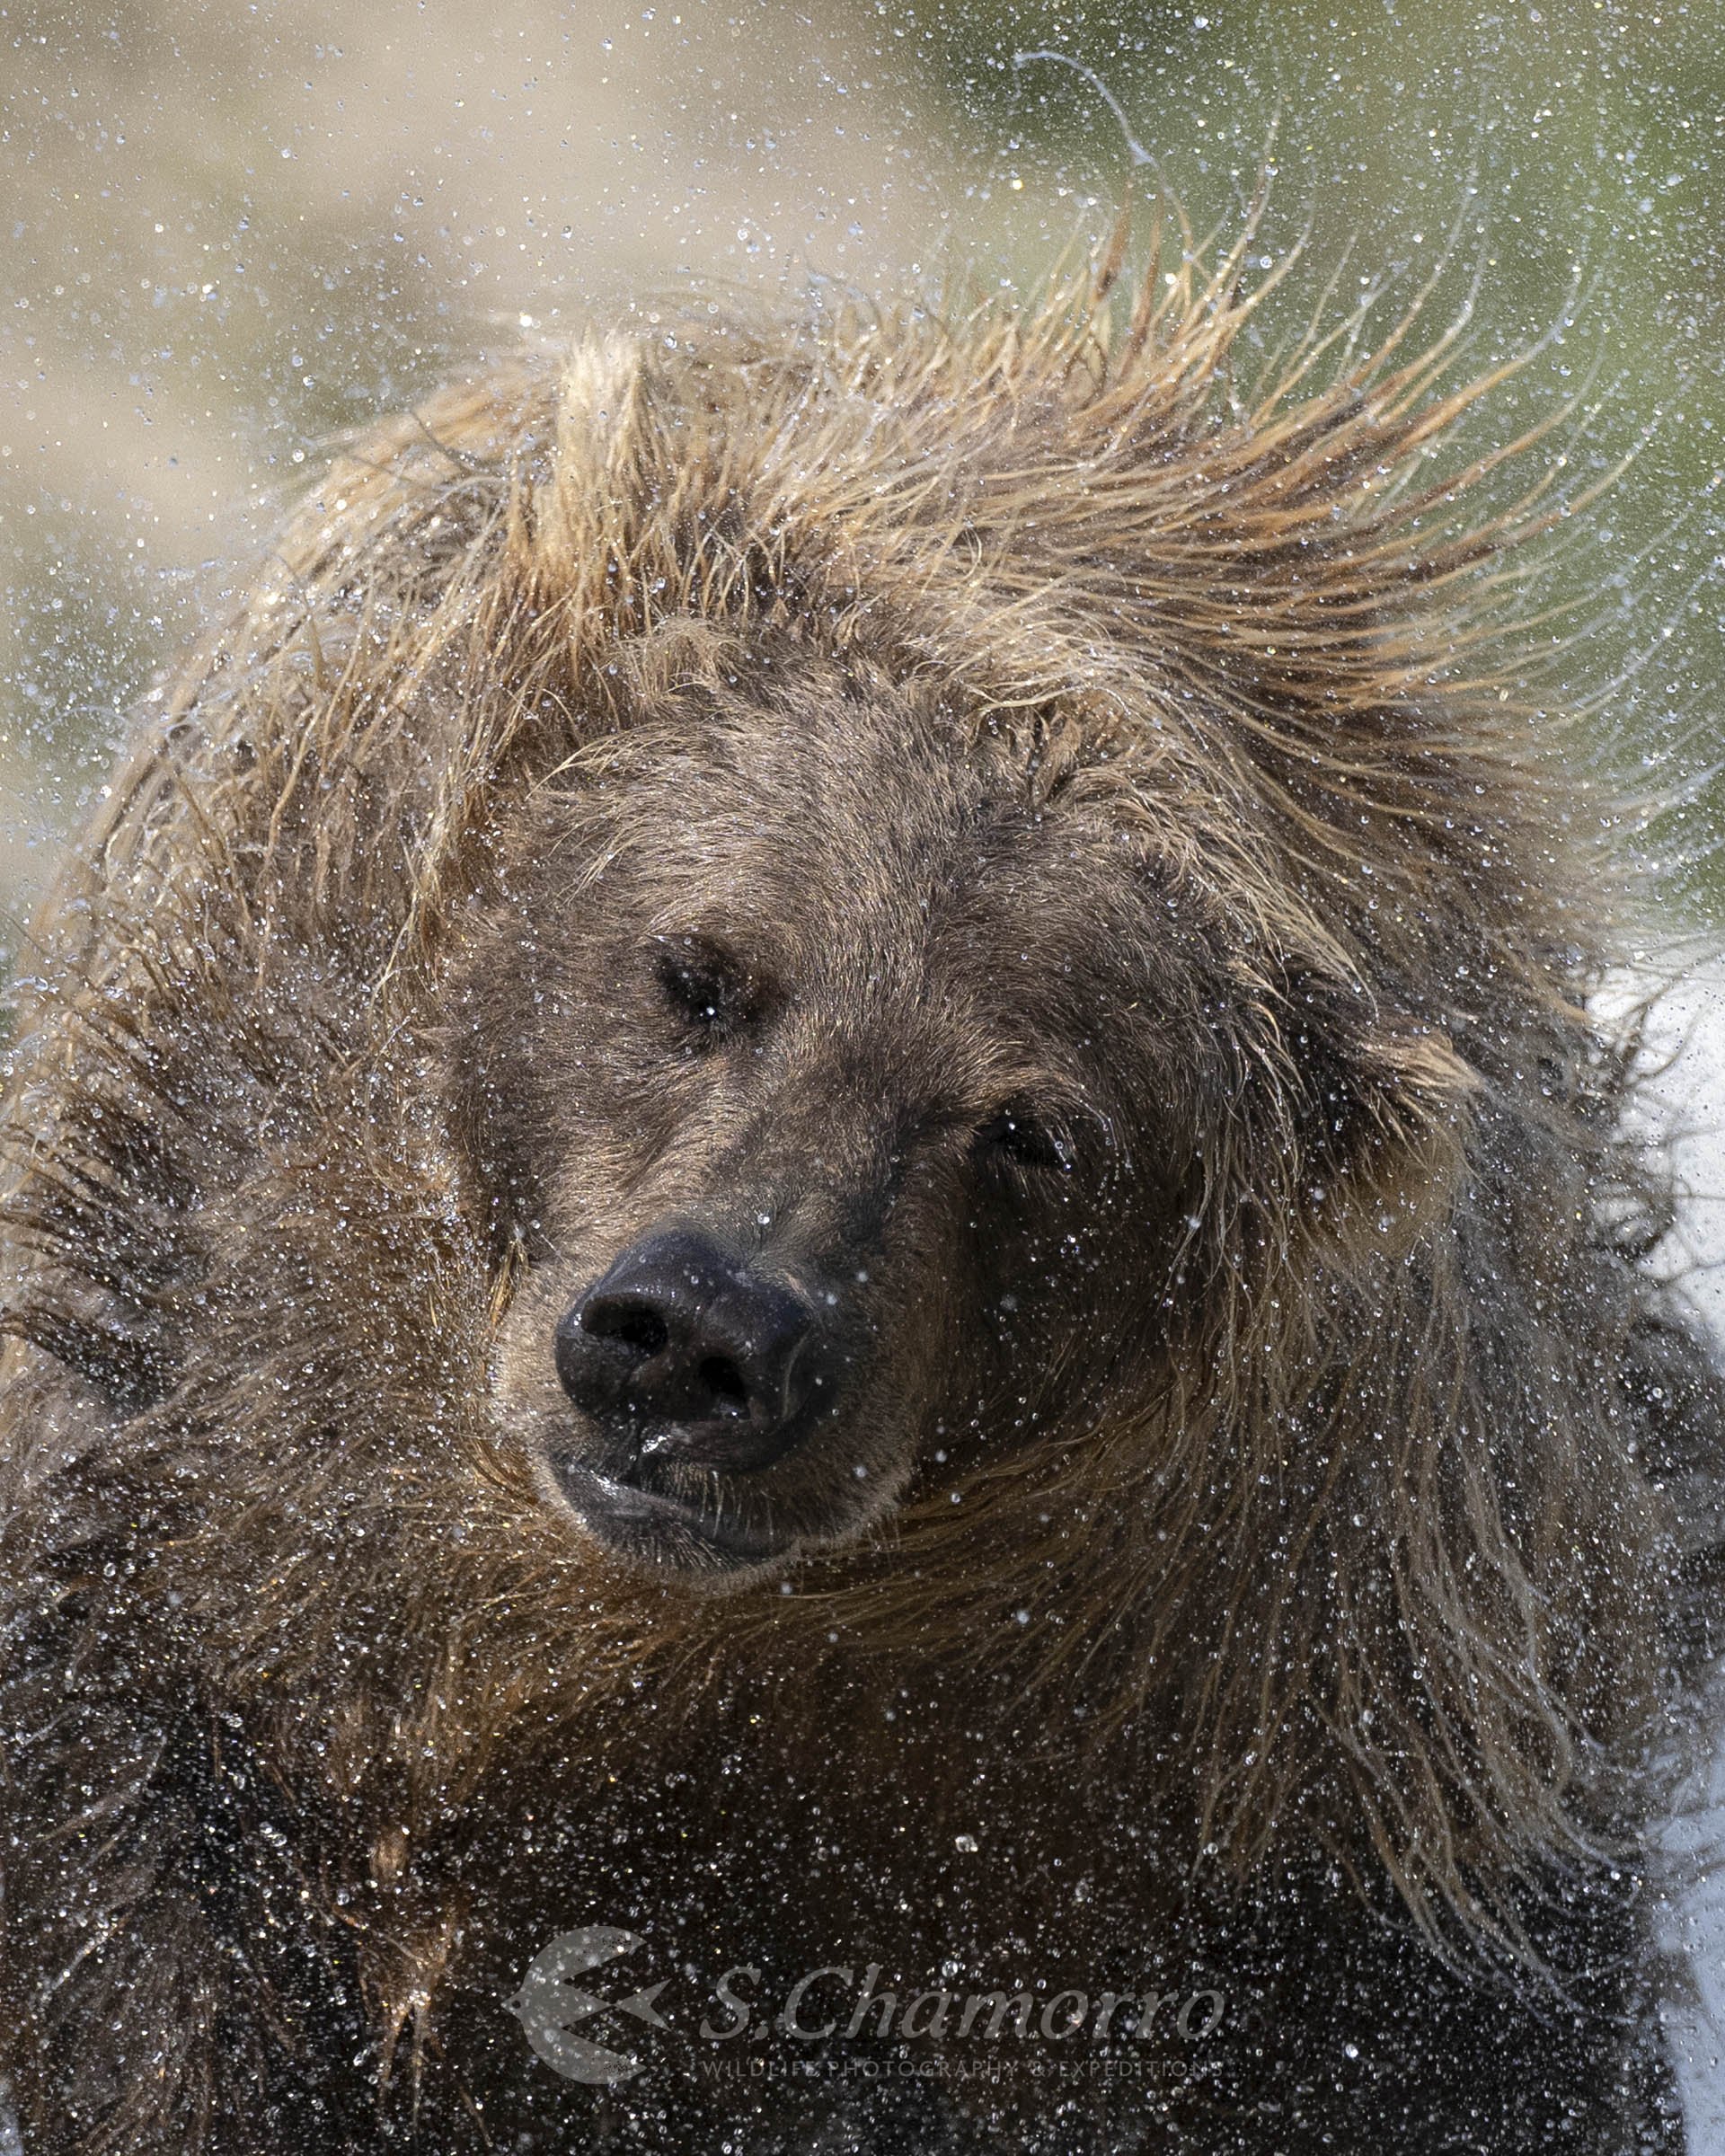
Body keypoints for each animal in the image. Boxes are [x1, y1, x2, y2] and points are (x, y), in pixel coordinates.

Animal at [0, 221, 1721, 2154]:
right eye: (697, 970)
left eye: (1036, 1132)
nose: (699, 1333)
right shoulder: (208, 1417)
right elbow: (162, 1907)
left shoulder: (1303, 1717)